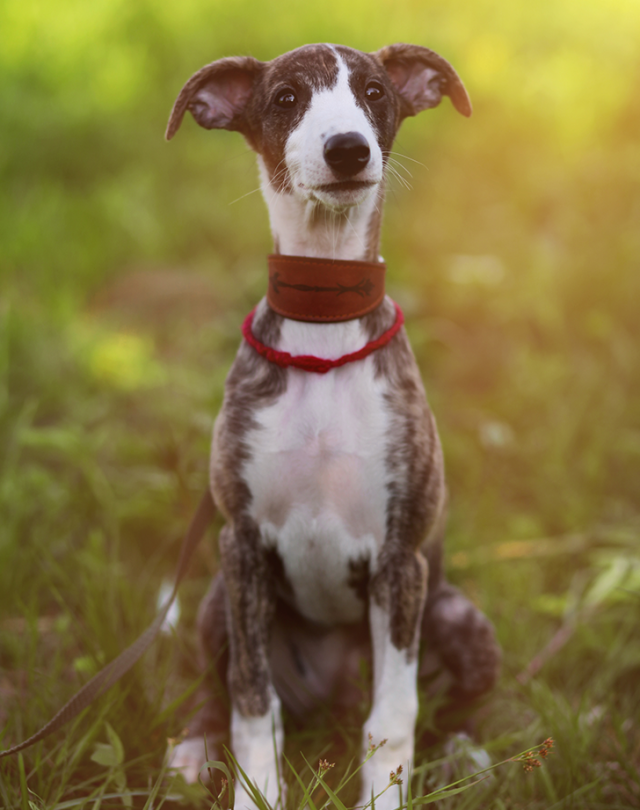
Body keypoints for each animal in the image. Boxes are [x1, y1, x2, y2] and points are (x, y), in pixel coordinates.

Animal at [166, 45, 500, 808]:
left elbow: (394, 718)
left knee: (447, 704)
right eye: (286, 98)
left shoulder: (401, 559)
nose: (348, 149)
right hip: (215, 602)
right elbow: (252, 702)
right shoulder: (241, 545)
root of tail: (332, 694)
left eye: (375, 92)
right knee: (218, 684)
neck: (322, 329)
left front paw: (384, 796)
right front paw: (254, 790)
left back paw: (465, 751)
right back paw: (196, 745)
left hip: (457, 614)